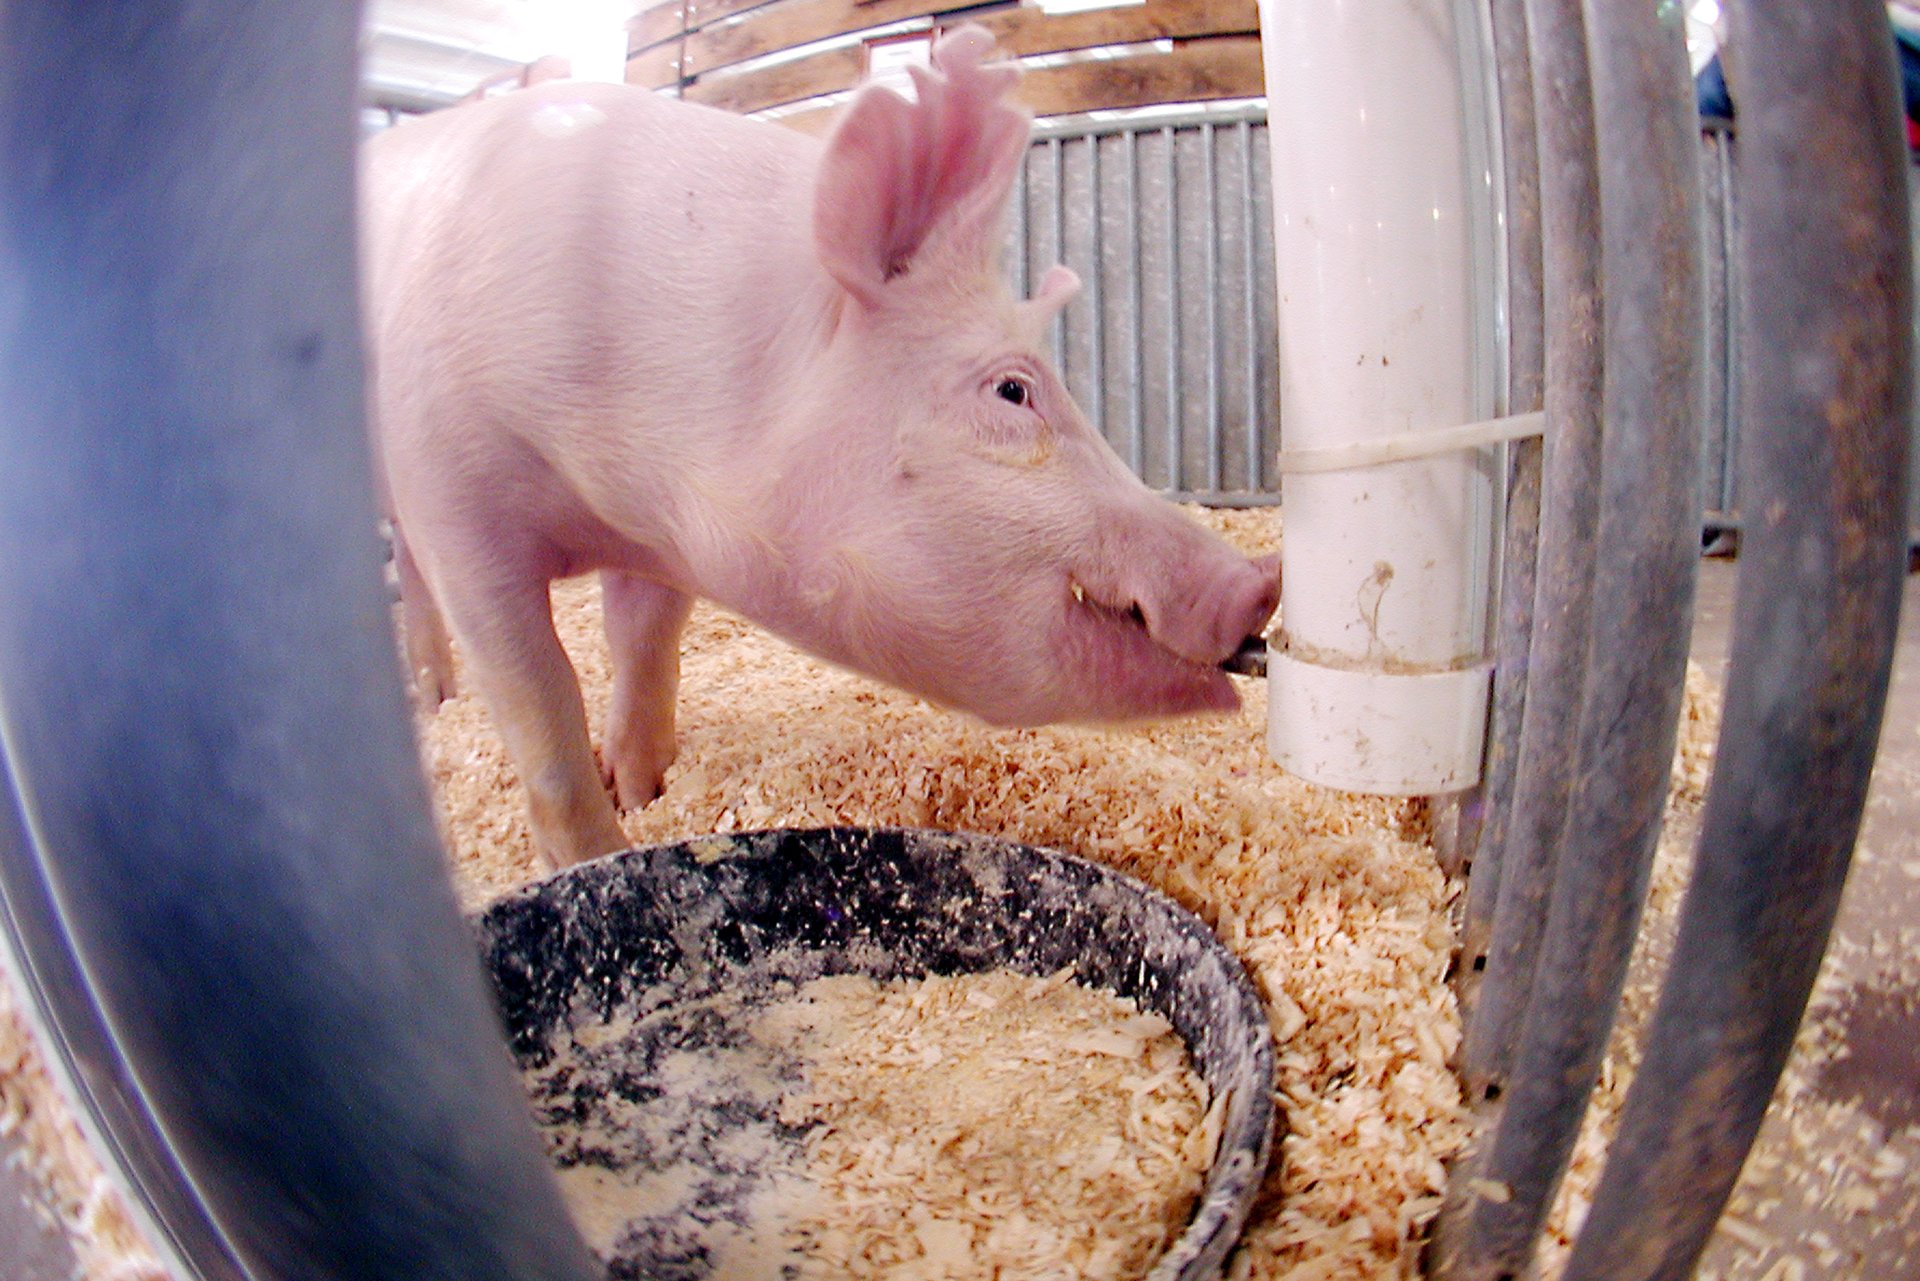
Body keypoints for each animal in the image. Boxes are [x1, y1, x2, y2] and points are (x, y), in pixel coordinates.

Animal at [366, 27, 1282, 871]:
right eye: (1013, 392)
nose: (1260, 581)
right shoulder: (456, 503)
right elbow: (541, 693)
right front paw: (599, 854)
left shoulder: (657, 539)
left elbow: (644, 645)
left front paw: (643, 786)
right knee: (409, 570)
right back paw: (434, 696)